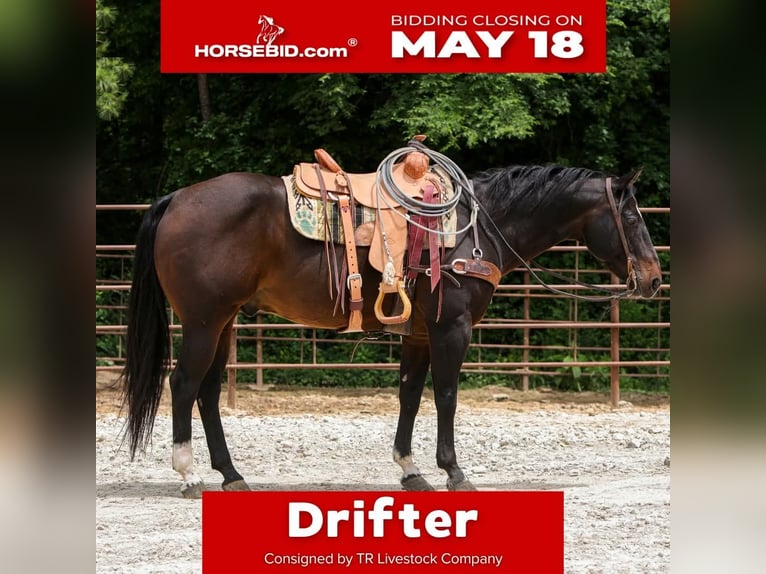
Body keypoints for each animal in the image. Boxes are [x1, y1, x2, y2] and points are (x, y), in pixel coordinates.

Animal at [120, 158, 662, 498]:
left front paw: (411, 470)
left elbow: (409, 396)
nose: (654, 279)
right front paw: (454, 472)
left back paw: (231, 475)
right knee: (183, 384)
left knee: (208, 392)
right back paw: (189, 477)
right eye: (633, 216)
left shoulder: (419, 334)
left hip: (225, 321)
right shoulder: (451, 328)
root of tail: (177, 199)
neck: (475, 228)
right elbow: (446, 396)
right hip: (203, 321)